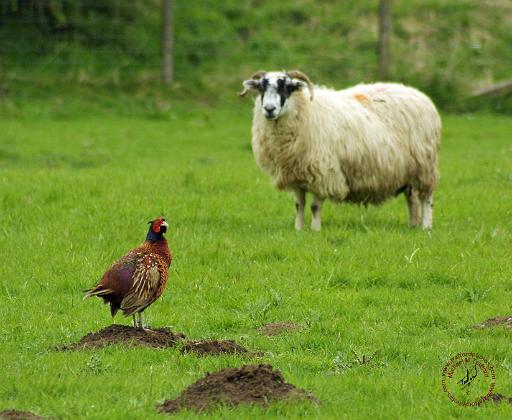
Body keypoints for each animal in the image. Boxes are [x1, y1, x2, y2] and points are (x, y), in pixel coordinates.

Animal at [240, 70, 440, 231]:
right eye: (261, 88)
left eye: (287, 87)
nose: (269, 109)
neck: (305, 109)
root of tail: (419, 95)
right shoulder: (295, 174)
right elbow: (299, 205)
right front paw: (298, 229)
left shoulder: (322, 172)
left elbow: (315, 207)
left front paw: (315, 230)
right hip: (409, 170)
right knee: (412, 199)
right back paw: (413, 225)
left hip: (425, 166)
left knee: (427, 199)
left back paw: (426, 227)